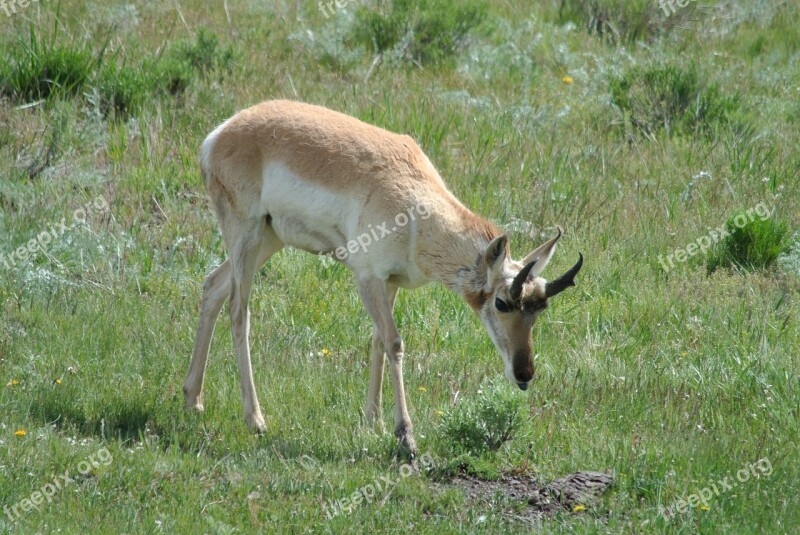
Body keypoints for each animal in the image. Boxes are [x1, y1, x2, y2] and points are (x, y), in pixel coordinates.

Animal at [183, 99, 580, 452]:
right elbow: (394, 342)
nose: (524, 374)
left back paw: (193, 399)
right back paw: (255, 420)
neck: (417, 208)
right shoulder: (368, 278)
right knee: (239, 311)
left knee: (213, 286)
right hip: (246, 236)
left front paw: (372, 421)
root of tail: (222, 132)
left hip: (269, 238)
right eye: (501, 303)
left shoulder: (389, 284)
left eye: (539, 308)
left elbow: (376, 340)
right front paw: (405, 436)